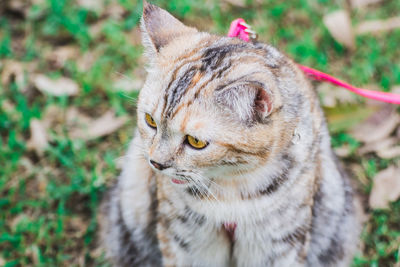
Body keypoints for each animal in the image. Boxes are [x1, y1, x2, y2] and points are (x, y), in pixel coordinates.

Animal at [99, 1, 360, 266]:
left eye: (195, 141)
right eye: (150, 121)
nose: (157, 163)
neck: (232, 187)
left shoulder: (277, 243)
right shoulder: (185, 240)